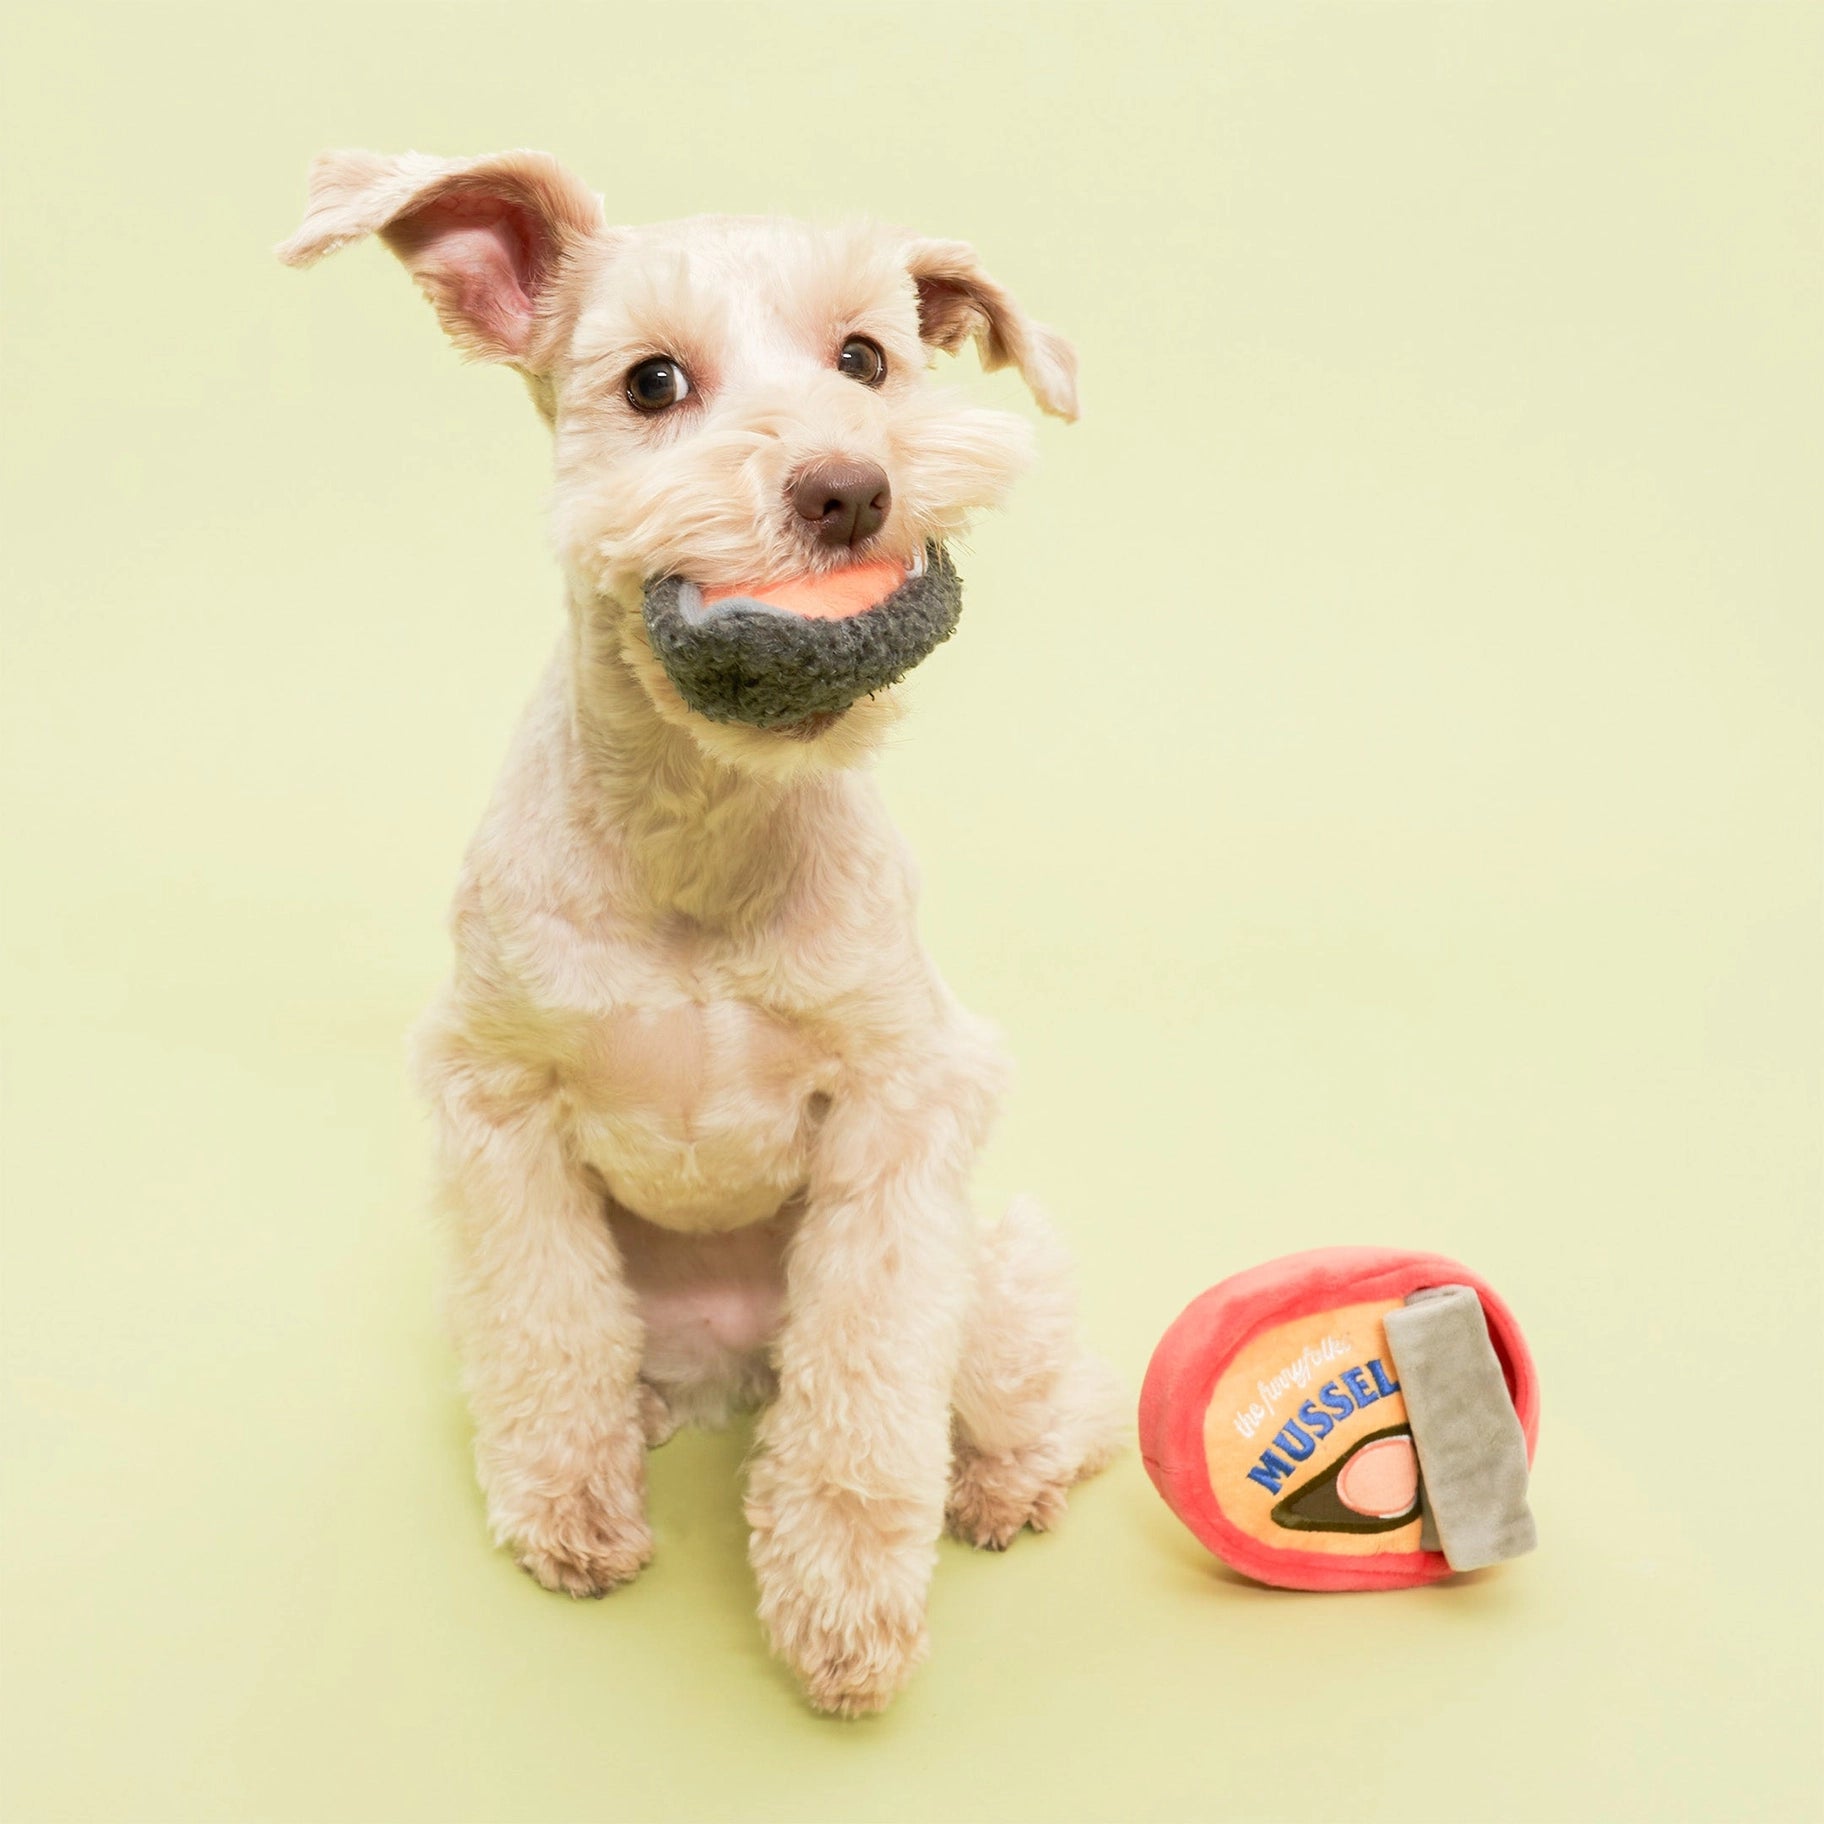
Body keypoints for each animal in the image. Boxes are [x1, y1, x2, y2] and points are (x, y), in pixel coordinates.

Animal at [280, 149, 1123, 1714]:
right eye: (653, 381)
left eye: (868, 359)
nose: (849, 488)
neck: (699, 832)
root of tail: (735, 1367)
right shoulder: (498, 1108)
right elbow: (546, 1335)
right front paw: (569, 1511)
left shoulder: (906, 1107)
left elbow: (866, 1401)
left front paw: (846, 1611)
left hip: (989, 1287)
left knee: (1052, 1395)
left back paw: (1003, 1482)